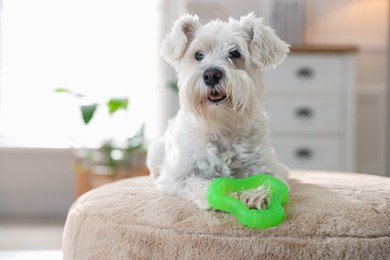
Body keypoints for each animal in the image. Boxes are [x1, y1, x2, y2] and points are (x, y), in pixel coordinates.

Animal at [149, 13, 290, 210]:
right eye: (198, 55)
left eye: (235, 53)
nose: (211, 75)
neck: (221, 124)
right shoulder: (177, 176)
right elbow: (199, 183)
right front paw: (229, 195)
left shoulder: (268, 166)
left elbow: (270, 180)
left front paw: (256, 195)